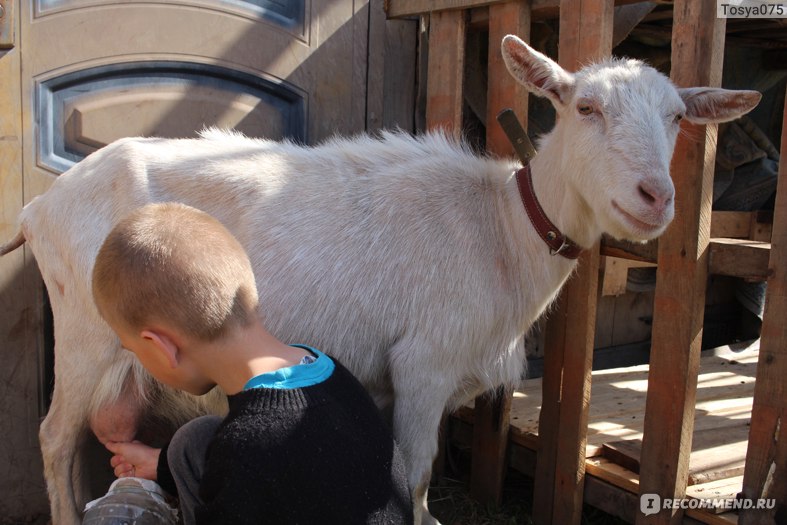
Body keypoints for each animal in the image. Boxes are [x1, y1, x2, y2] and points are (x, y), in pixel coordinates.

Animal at [1, 34, 764, 520]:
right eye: (585, 108)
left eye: (677, 118)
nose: (654, 197)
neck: (501, 227)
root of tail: (39, 208)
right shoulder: (423, 361)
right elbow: (418, 470)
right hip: (85, 333)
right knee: (54, 437)